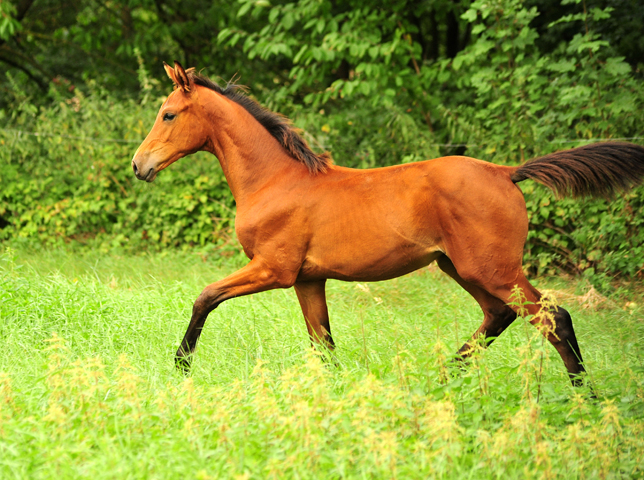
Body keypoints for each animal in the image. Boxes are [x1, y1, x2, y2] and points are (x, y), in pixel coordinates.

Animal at [131, 62, 644, 386]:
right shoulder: (307, 279)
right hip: (460, 268)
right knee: (500, 316)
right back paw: (443, 378)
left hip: (493, 268)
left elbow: (205, 297)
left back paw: (585, 398)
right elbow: (324, 343)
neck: (275, 179)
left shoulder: (273, 269)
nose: (139, 165)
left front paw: (179, 367)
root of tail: (505, 172)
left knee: (553, 318)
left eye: (168, 114)